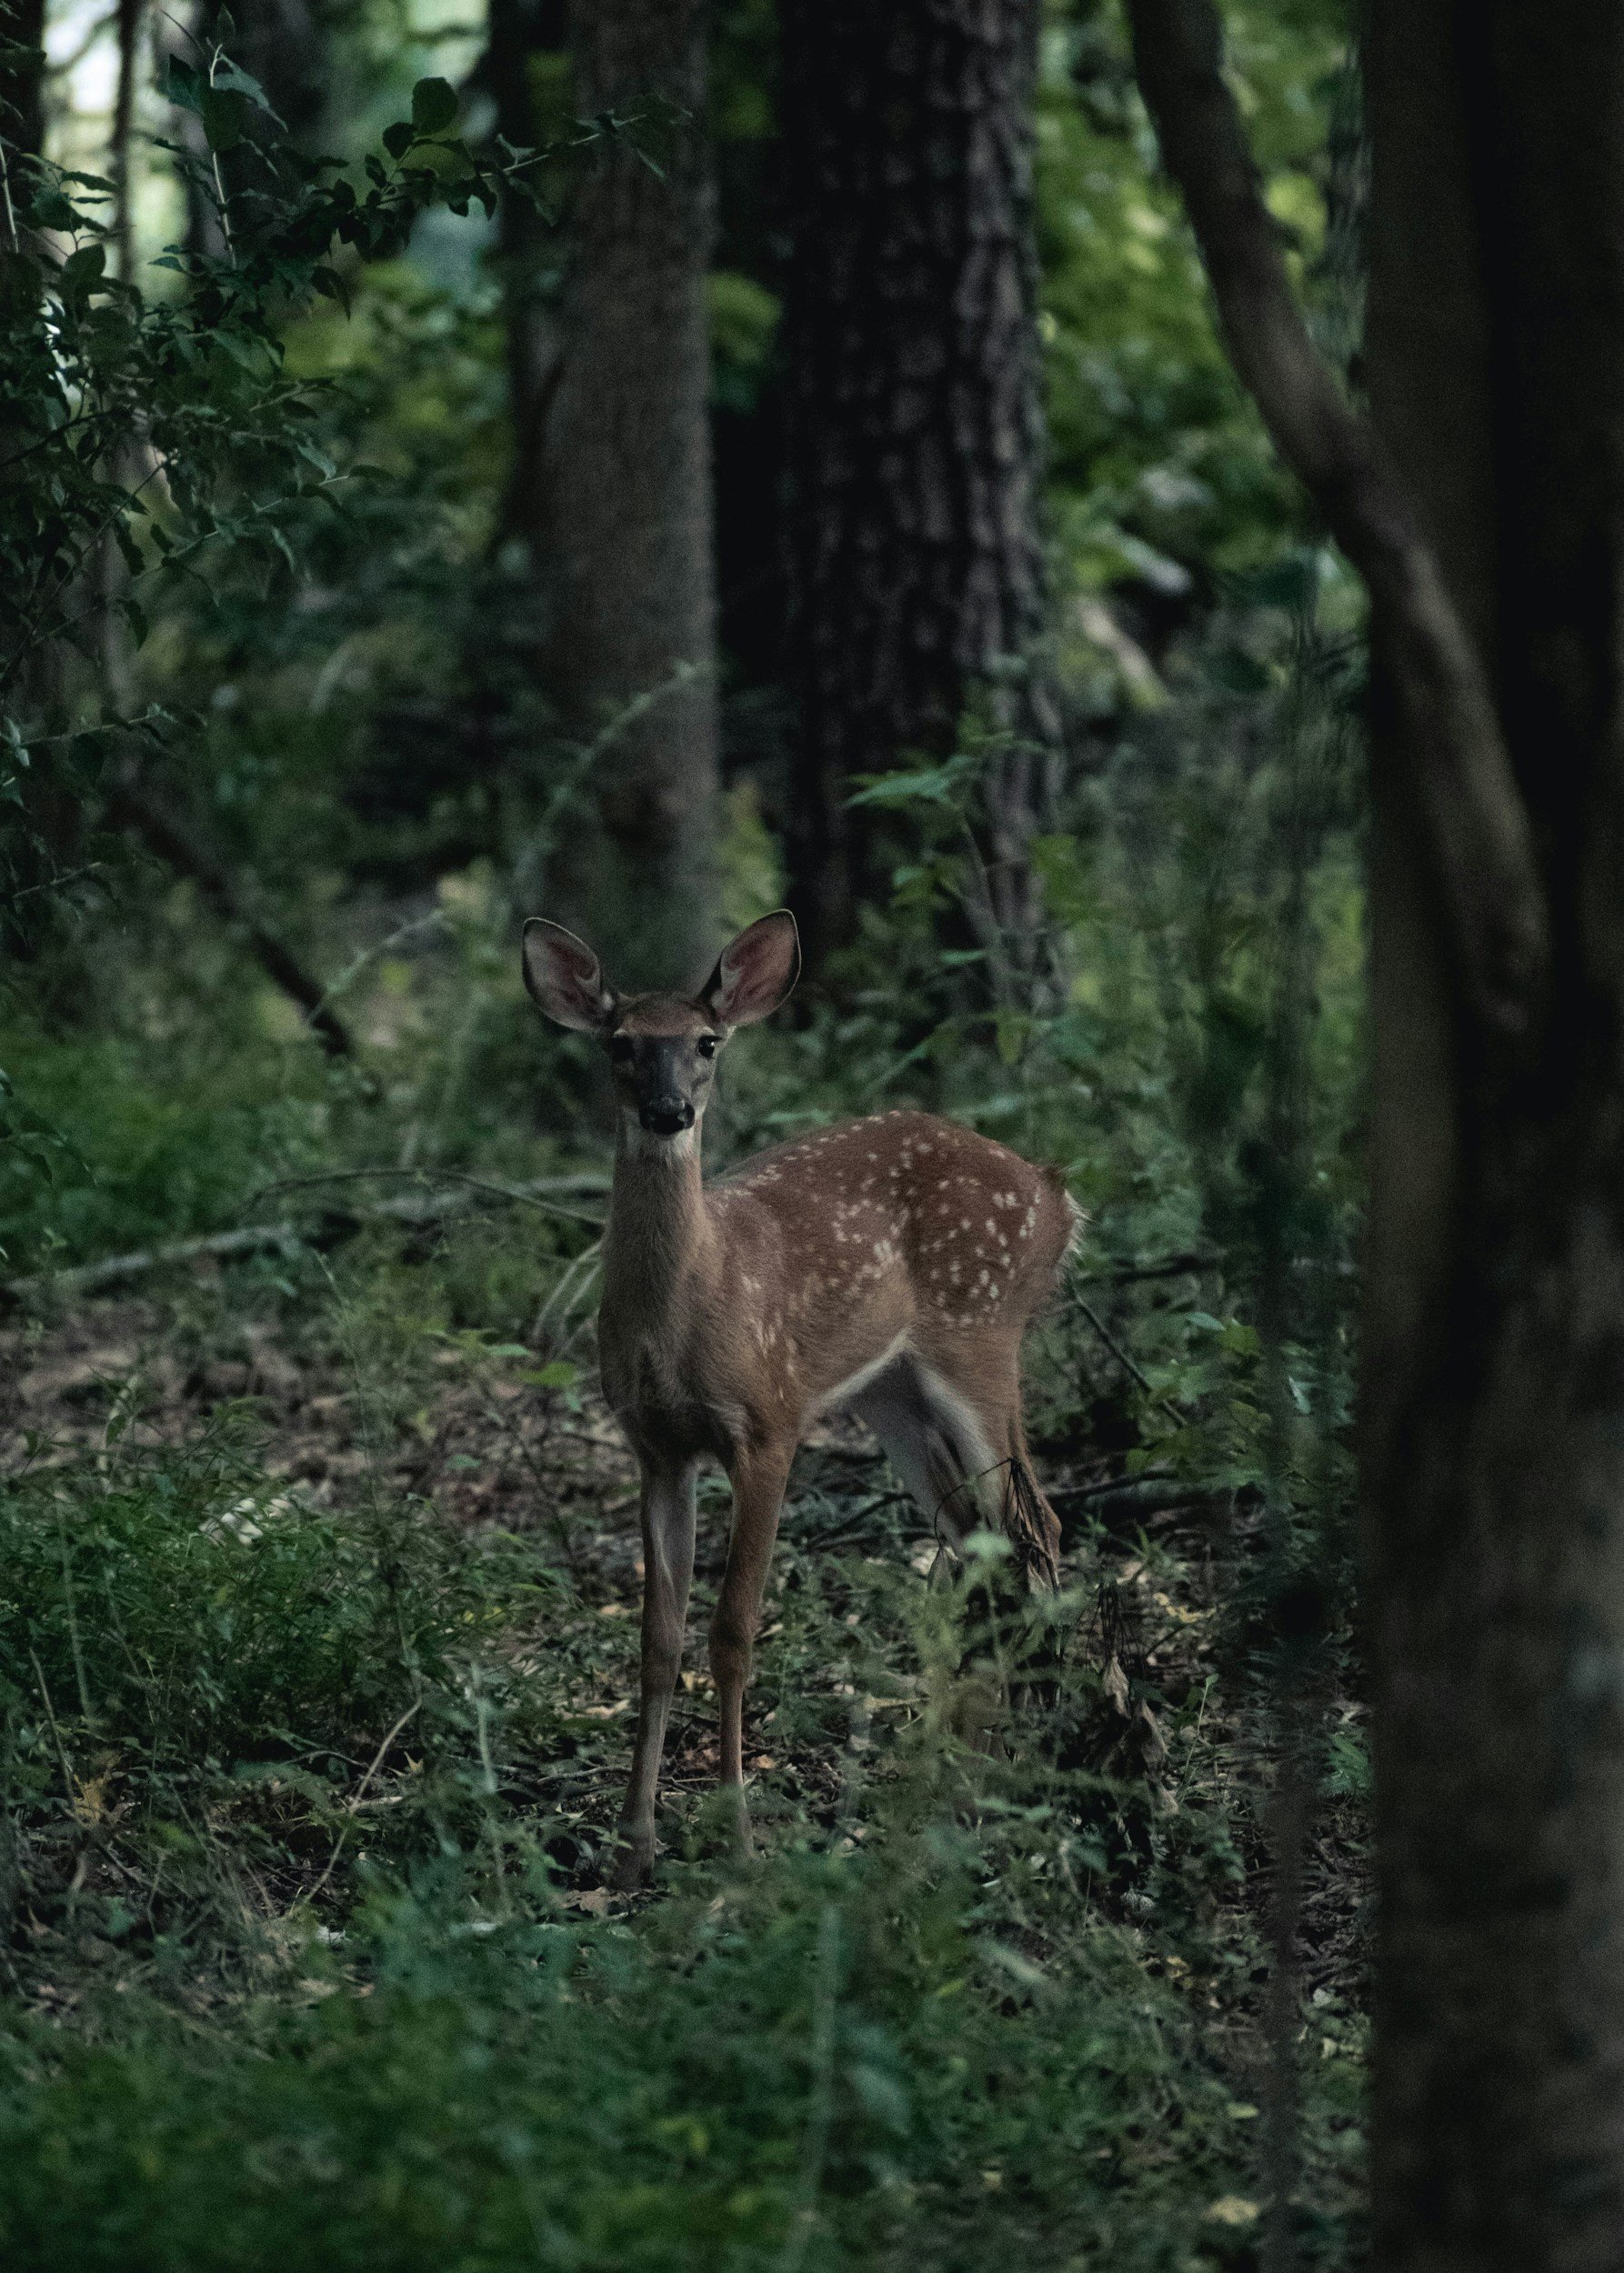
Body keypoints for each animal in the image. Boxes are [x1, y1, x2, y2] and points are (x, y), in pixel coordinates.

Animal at [522, 909, 1077, 1887]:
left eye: (707, 1042)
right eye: (621, 1043)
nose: (670, 1111)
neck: (689, 1305)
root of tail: (1055, 1193)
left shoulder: (769, 1421)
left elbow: (733, 1631)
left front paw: (739, 1840)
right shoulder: (655, 1446)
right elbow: (658, 1639)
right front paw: (633, 1846)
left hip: (982, 1332)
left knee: (1036, 1523)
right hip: (892, 1392)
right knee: (975, 1536)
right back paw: (959, 1765)